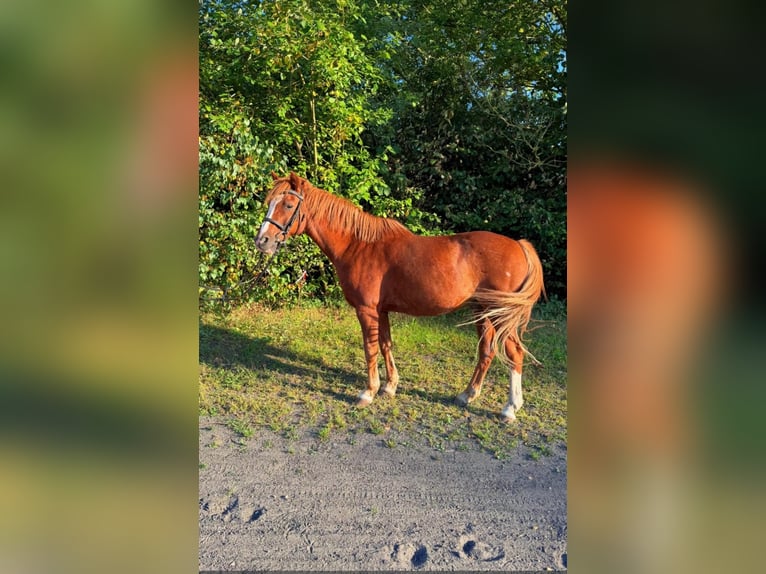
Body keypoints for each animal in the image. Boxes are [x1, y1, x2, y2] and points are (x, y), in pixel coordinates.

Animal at [254, 172, 545, 422]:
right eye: (271, 203)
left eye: (288, 204)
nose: (262, 241)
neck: (357, 246)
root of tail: (519, 245)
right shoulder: (380, 310)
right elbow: (386, 345)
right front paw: (390, 387)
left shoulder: (366, 310)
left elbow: (370, 348)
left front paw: (368, 392)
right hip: (482, 312)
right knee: (487, 351)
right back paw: (467, 395)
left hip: (500, 316)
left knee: (515, 354)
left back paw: (509, 408)